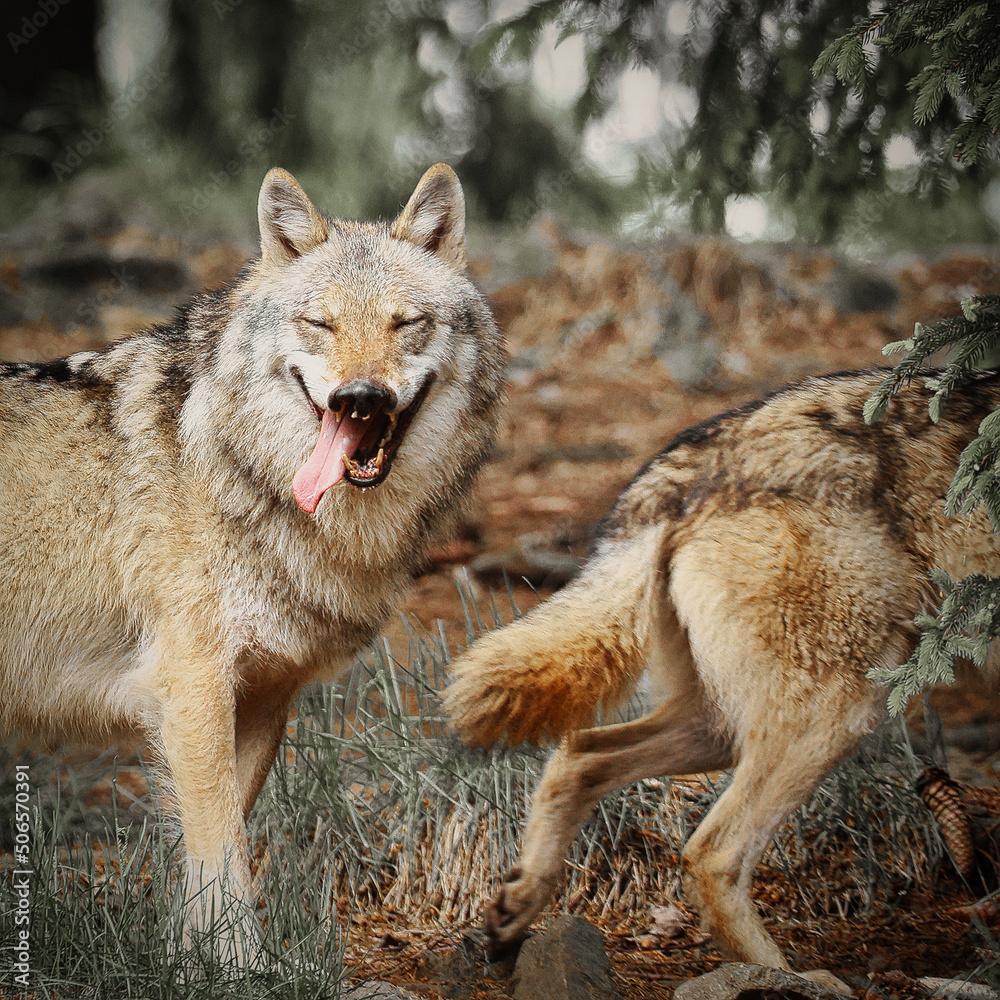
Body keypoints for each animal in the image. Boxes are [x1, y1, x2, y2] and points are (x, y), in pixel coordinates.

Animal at [0, 163, 504, 947]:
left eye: (405, 323)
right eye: (321, 324)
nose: (360, 398)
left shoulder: (266, 695)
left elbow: (210, 853)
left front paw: (187, 957)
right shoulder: (192, 688)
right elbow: (223, 851)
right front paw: (241, 962)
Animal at [446, 369, 1000, 990]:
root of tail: (698, 454)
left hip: (725, 728)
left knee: (579, 753)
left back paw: (515, 912)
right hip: (835, 715)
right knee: (711, 853)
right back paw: (791, 981)